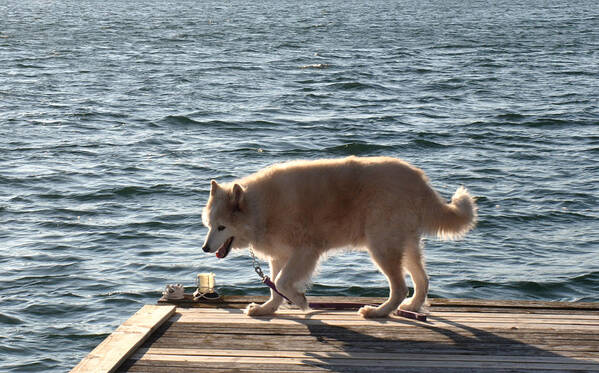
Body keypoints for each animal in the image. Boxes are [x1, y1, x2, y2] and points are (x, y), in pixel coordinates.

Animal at [202, 156, 478, 316]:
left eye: (221, 228)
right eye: (209, 225)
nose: (205, 248)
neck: (259, 209)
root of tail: (418, 179)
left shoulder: (305, 252)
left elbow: (281, 282)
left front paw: (300, 300)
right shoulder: (279, 256)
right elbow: (275, 287)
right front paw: (267, 309)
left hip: (382, 248)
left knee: (400, 287)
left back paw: (378, 312)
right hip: (403, 246)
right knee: (422, 280)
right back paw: (411, 306)